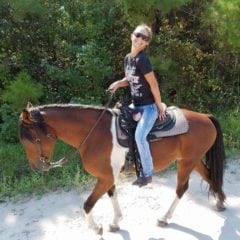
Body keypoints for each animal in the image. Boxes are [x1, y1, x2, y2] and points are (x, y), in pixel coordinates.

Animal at [19, 101, 227, 234]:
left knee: (181, 189)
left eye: (32, 139)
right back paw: (220, 201)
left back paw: (164, 218)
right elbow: (112, 196)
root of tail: (205, 117)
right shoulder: (108, 176)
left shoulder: (105, 178)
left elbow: (87, 204)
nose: (37, 168)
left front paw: (96, 228)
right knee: (210, 176)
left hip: (186, 162)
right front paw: (115, 222)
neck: (95, 133)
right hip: (192, 159)